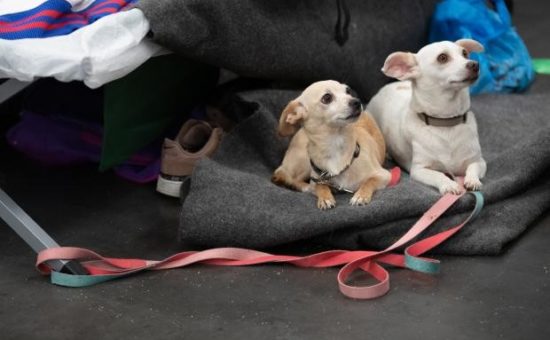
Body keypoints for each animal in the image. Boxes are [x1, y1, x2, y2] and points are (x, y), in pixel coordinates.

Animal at [368, 39, 490, 194]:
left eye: (464, 53)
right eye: (442, 58)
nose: (474, 64)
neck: (445, 122)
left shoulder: (479, 161)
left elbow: (473, 167)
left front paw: (472, 180)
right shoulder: (419, 170)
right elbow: (437, 175)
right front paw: (449, 184)